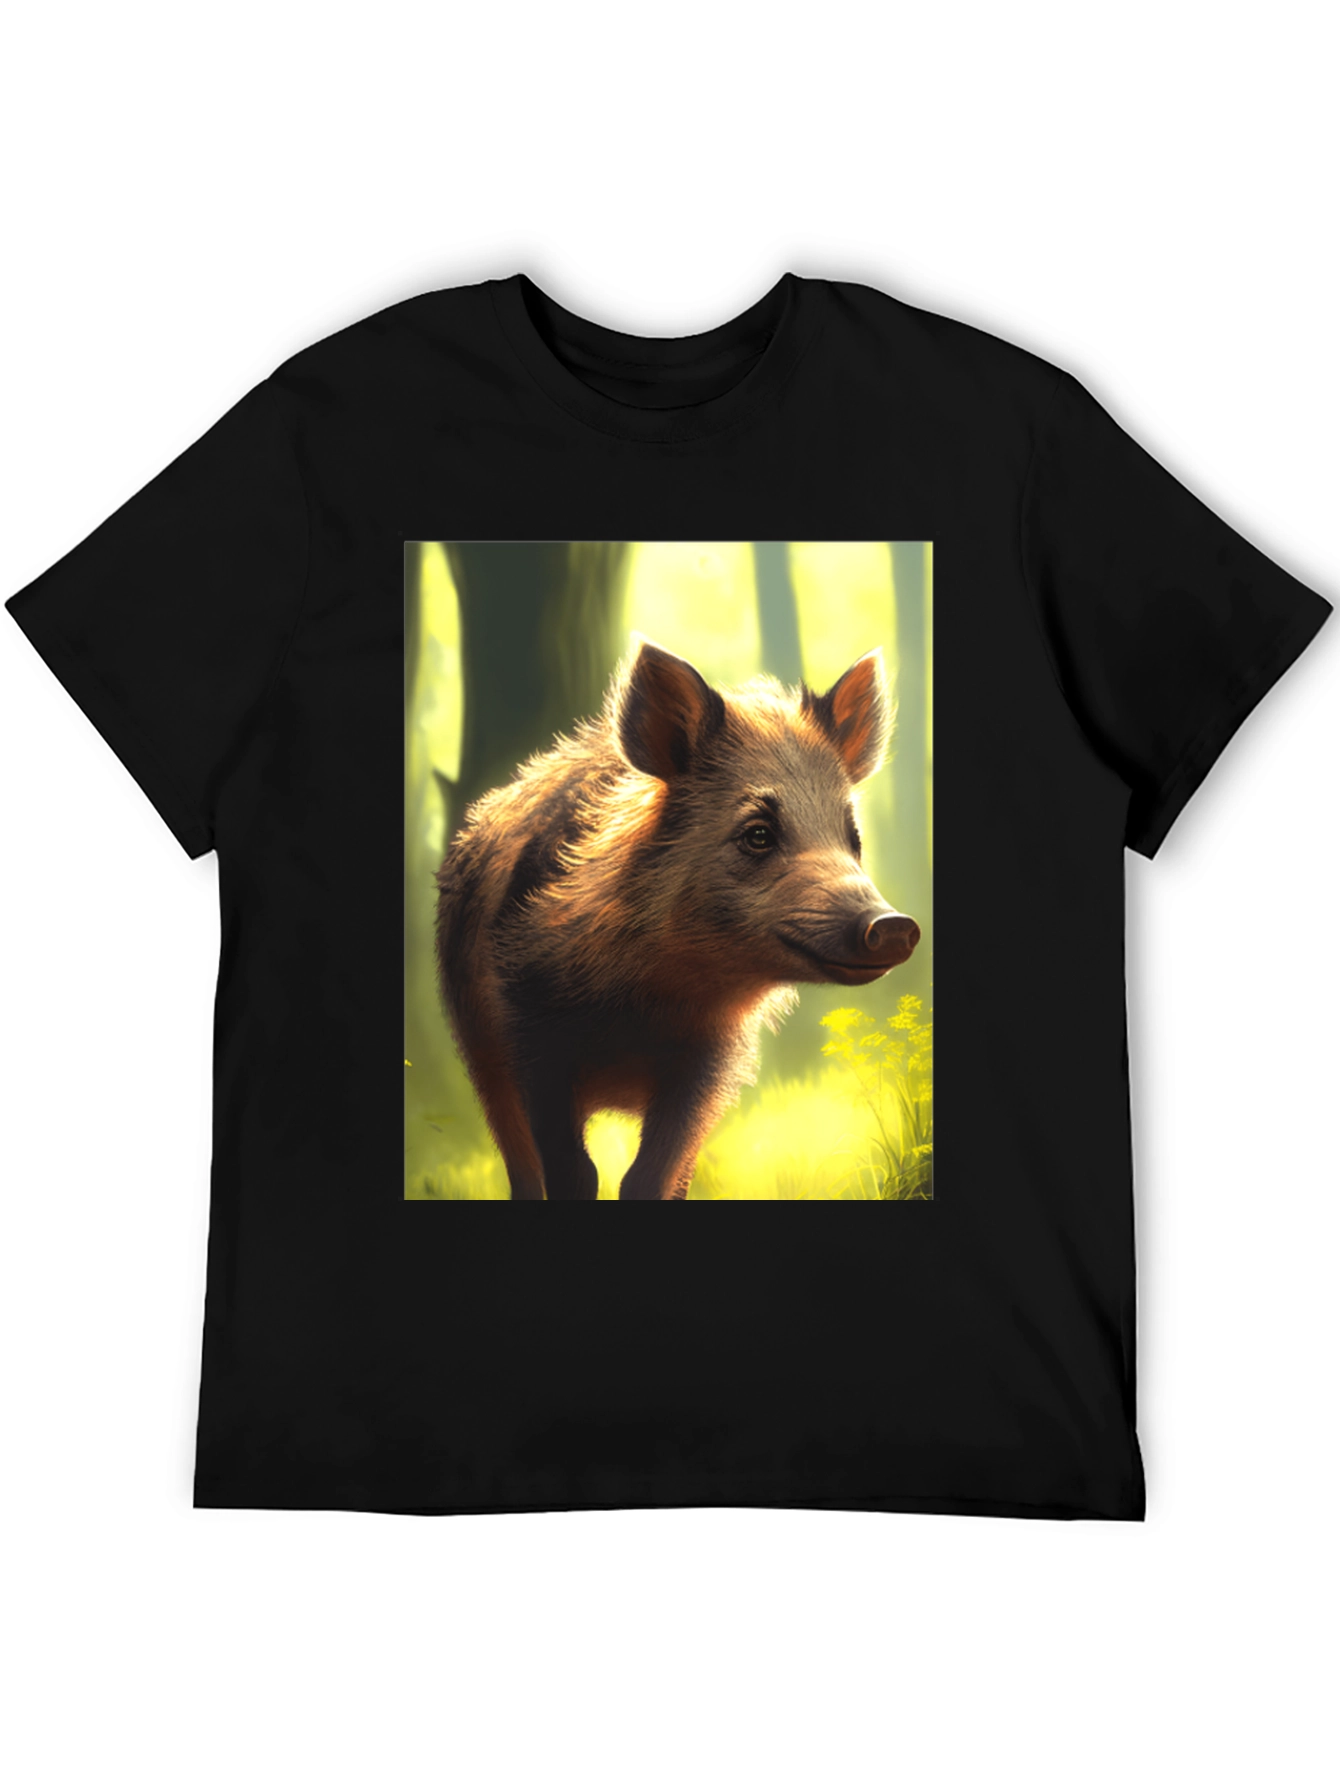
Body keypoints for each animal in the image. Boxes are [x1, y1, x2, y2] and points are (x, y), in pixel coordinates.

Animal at [434, 637, 920, 1201]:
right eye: (758, 833)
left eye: (853, 838)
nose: (894, 925)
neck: (651, 1000)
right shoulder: (529, 1039)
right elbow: (573, 1171)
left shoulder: (707, 1066)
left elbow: (652, 1175)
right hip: (478, 1046)